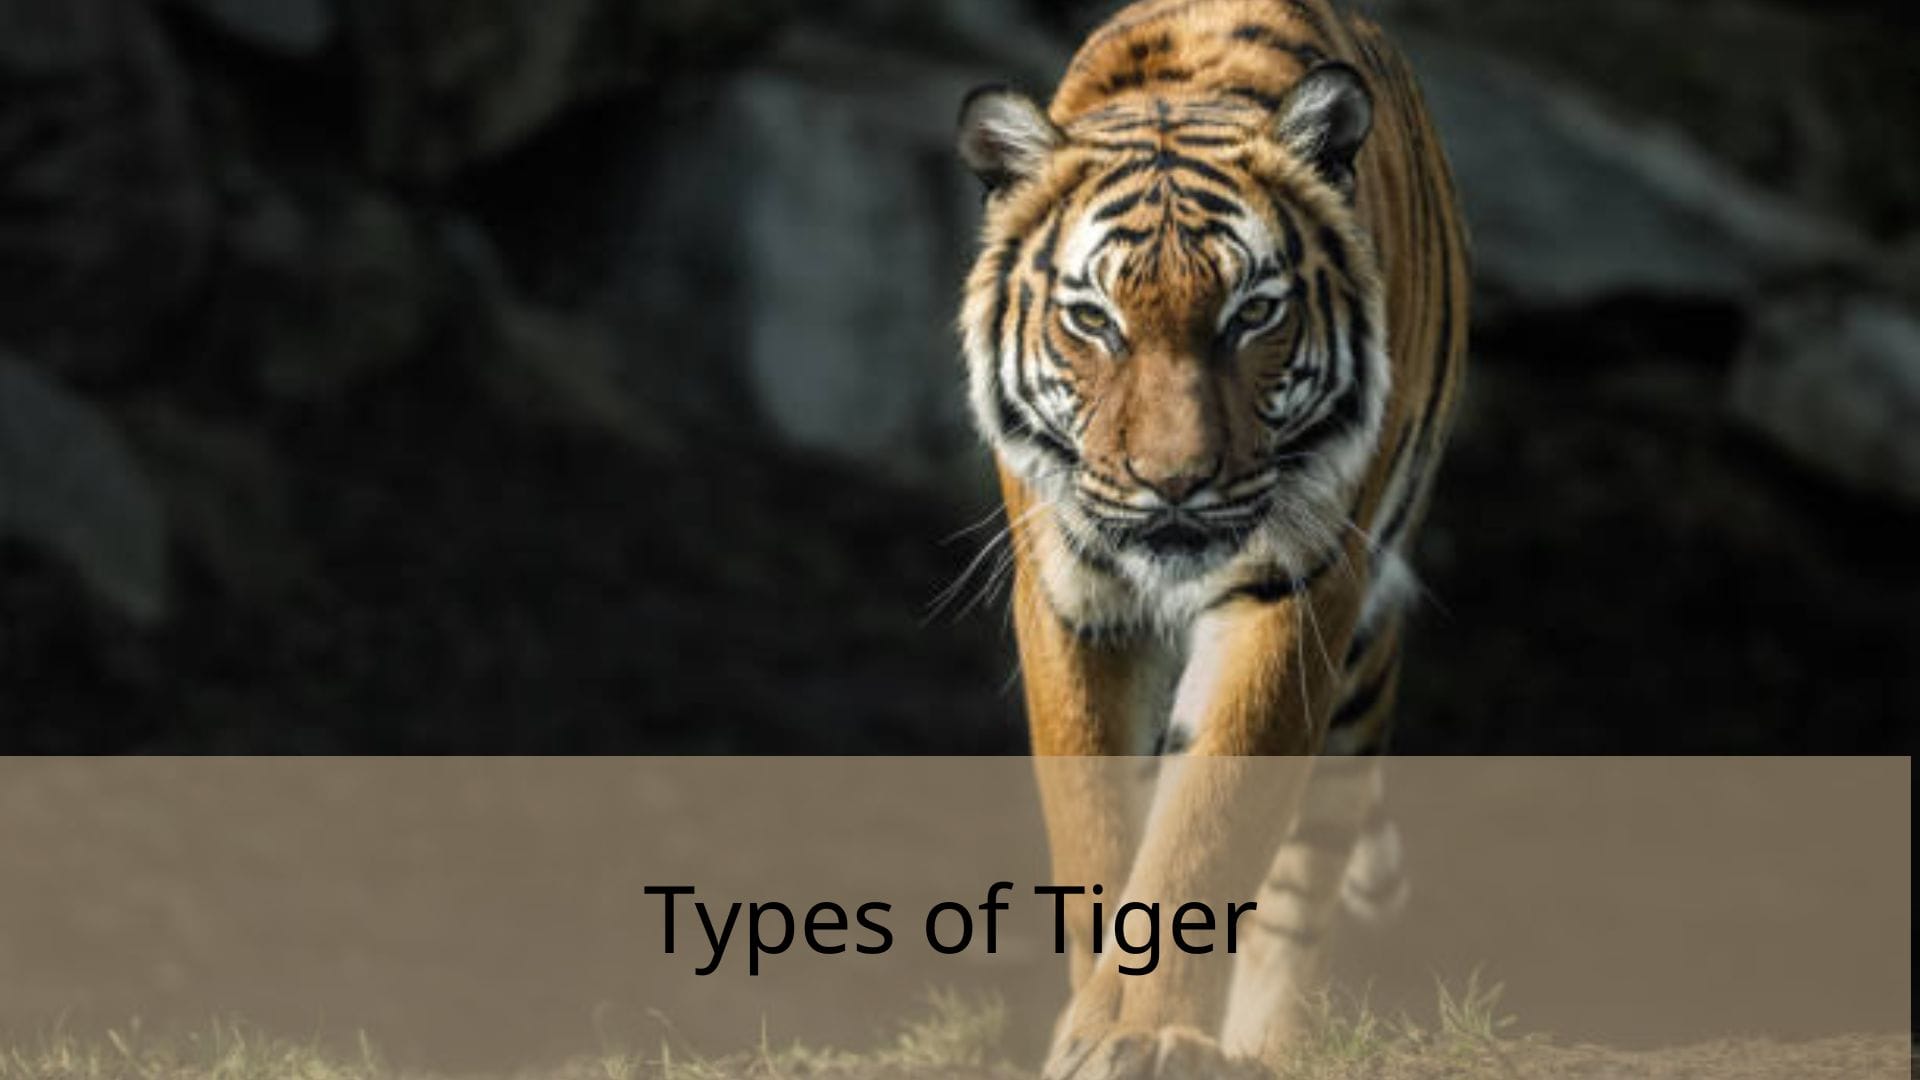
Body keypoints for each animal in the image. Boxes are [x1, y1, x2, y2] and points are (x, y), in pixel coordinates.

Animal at [952, 1, 1468, 1076]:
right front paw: (1091, 1026)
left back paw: (1268, 1045)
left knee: (1305, 876)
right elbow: (1099, 830)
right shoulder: (1073, 602)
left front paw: (1148, 1035)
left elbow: (1210, 826)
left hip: (1357, 667)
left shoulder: (1298, 589)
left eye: (1254, 313)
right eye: (1093, 320)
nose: (1175, 483)